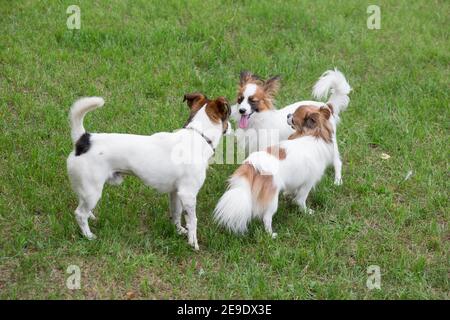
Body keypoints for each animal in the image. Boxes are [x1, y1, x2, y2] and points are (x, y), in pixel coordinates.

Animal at [215, 104, 338, 236]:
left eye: (293, 119)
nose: (288, 115)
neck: (315, 134)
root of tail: (252, 164)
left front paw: (289, 195)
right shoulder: (308, 182)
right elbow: (301, 199)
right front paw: (306, 211)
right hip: (273, 200)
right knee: (266, 217)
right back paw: (271, 234)